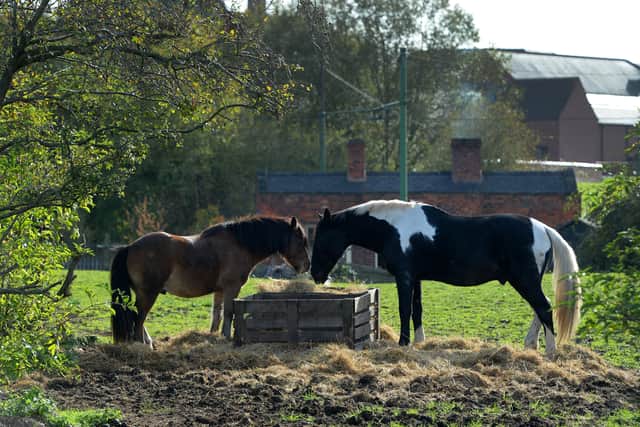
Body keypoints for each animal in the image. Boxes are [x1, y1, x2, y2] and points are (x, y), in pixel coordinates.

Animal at [110, 216, 310, 348]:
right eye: (301, 241)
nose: (306, 266)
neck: (239, 244)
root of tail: (130, 247)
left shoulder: (219, 291)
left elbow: (217, 315)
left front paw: (215, 336)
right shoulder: (231, 288)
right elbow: (229, 313)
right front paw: (227, 338)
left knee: (137, 316)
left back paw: (148, 342)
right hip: (149, 292)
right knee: (139, 317)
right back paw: (142, 344)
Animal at [310, 200, 581, 355]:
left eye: (321, 237)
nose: (315, 274)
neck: (394, 227)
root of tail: (542, 228)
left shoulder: (404, 277)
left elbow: (404, 310)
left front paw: (403, 344)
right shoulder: (416, 278)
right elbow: (417, 310)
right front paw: (419, 343)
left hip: (524, 280)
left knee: (543, 307)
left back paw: (550, 352)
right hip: (527, 281)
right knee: (540, 308)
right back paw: (530, 345)